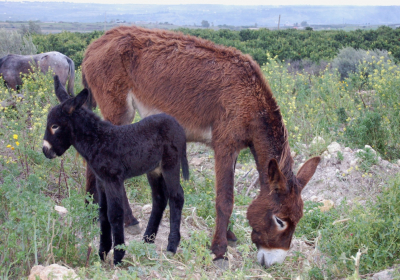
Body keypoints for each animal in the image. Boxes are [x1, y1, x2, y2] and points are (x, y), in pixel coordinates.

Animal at [43, 76, 188, 264]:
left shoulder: (113, 180)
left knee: (176, 196)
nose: (45, 151)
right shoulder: (101, 181)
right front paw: (103, 252)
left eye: (55, 126)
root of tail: (176, 123)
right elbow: (103, 213)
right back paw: (147, 239)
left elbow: (115, 214)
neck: (98, 140)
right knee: (159, 198)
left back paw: (171, 246)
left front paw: (118, 255)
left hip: (170, 165)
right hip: (154, 170)